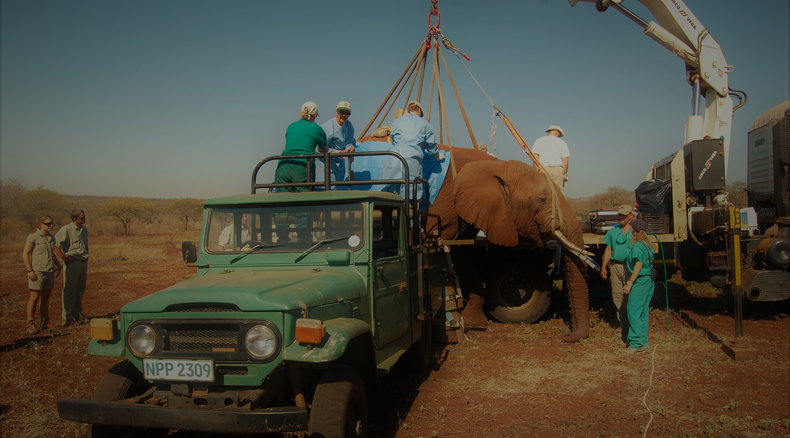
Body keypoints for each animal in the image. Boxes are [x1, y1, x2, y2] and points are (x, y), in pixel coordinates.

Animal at [427, 146, 591, 343]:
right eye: (542, 199)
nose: (567, 336)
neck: (496, 166)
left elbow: (463, 253)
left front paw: (474, 321)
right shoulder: (445, 207)